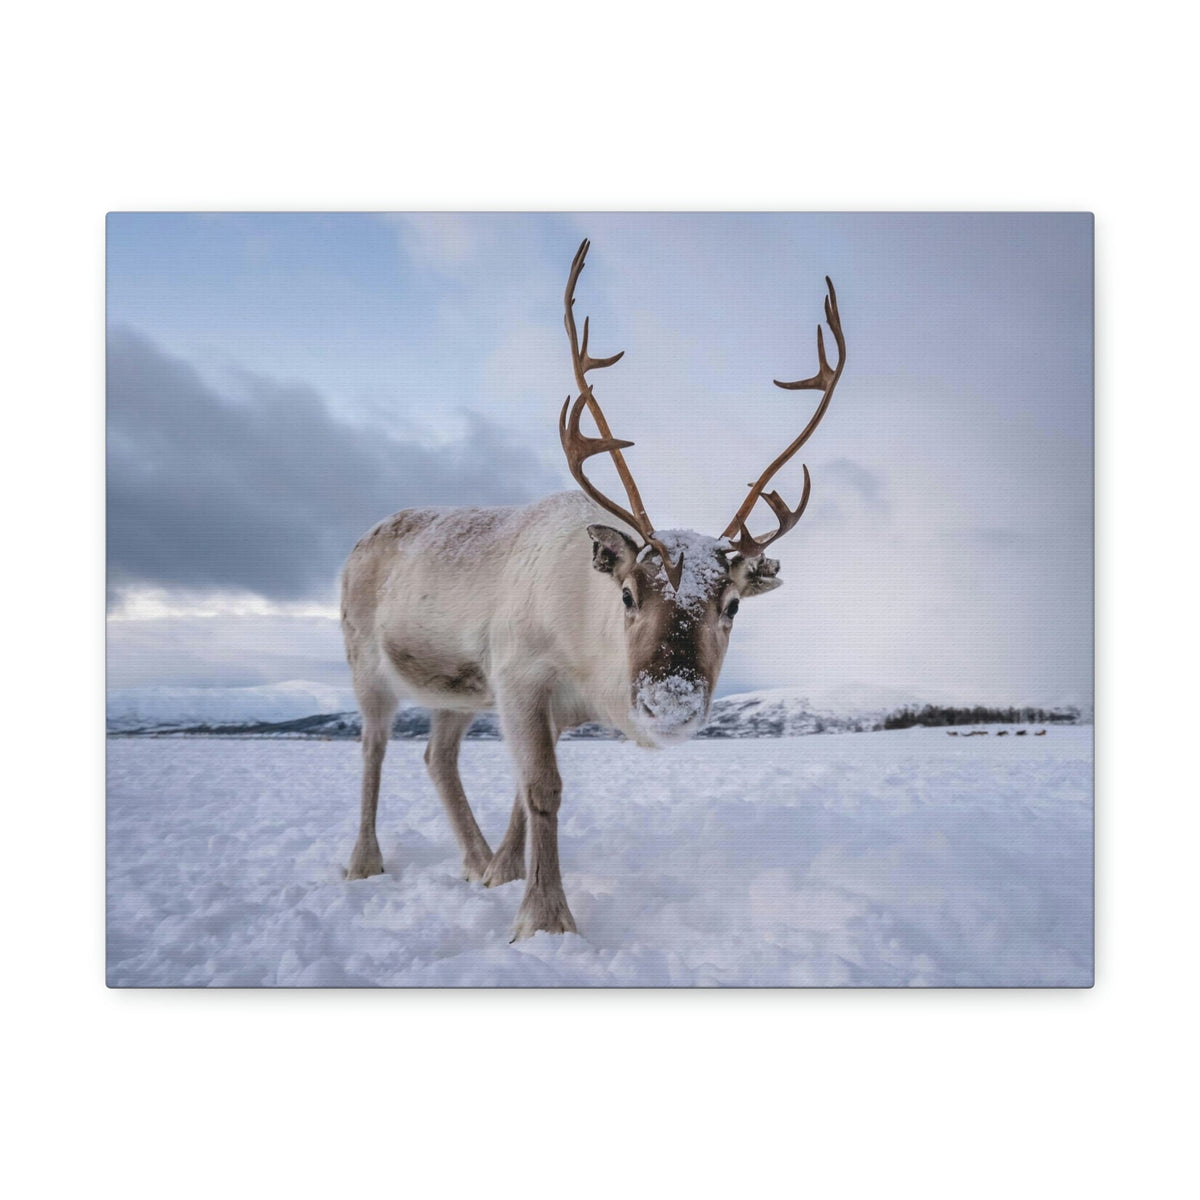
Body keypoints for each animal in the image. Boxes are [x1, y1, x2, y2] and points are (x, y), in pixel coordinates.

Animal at [339, 239, 845, 939]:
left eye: (733, 604)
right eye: (628, 594)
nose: (670, 702)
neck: (587, 656)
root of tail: (361, 540)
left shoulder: (540, 704)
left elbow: (524, 792)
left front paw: (504, 874)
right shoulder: (520, 676)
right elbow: (542, 789)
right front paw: (545, 919)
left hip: (456, 692)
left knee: (437, 758)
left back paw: (474, 860)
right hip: (367, 663)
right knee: (373, 749)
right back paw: (364, 862)